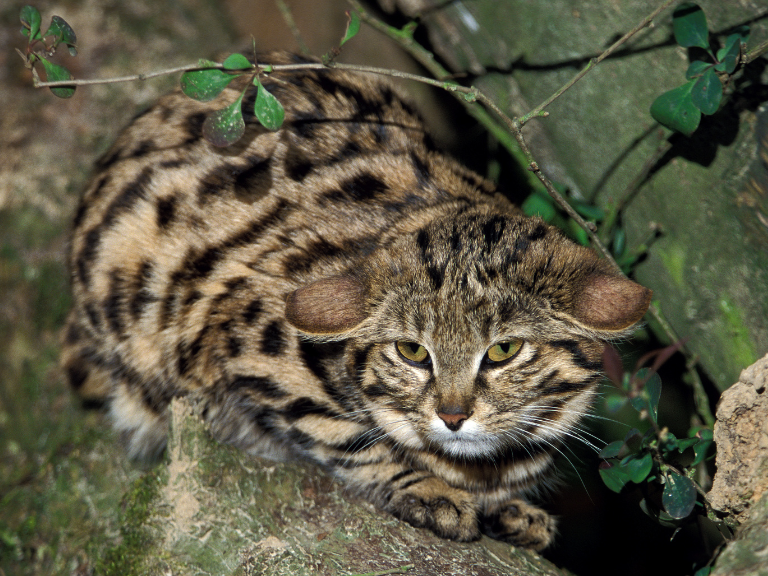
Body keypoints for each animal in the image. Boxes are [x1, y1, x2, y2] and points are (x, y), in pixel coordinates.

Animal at [61, 53, 648, 548]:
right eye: (412, 352)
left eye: (504, 351)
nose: (453, 415)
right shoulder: (238, 332)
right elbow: (346, 436)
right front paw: (428, 488)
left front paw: (514, 507)